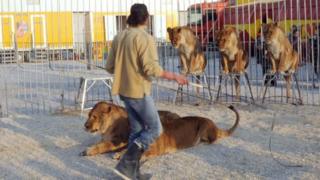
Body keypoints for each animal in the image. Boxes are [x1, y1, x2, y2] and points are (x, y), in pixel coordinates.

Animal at [81, 101, 239, 159]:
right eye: (88, 115)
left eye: (94, 116)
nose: (85, 126)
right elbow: (98, 142)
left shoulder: (119, 140)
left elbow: (103, 145)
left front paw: (89, 150)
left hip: (203, 126)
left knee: (211, 139)